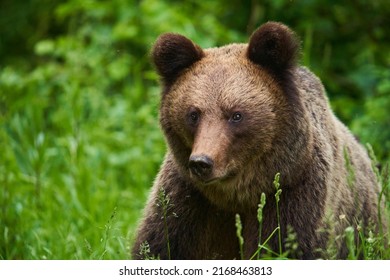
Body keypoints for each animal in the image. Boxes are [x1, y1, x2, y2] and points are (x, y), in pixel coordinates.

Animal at [130, 21, 384, 260]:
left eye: (236, 115)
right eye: (193, 114)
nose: (202, 163)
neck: (237, 196)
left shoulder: (293, 194)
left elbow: (286, 245)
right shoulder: (188, 203)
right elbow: (160, 245)